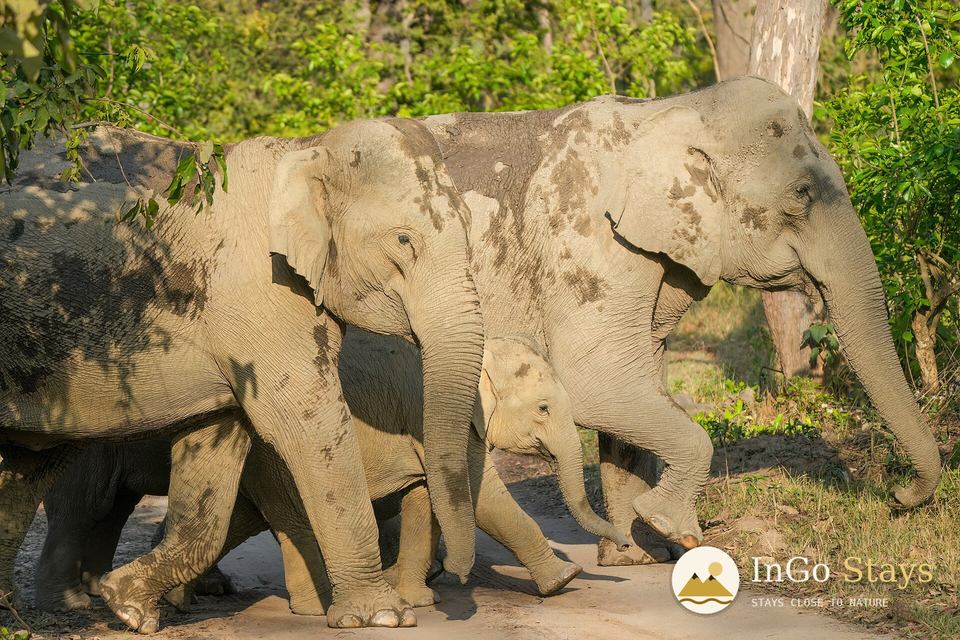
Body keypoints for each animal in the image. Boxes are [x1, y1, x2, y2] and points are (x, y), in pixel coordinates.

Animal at [0, 117, 485, 630]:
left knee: (30, 465)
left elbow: (216, 446)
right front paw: (383, 616)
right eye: (404, 240)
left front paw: (129, 606)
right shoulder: (258, 295)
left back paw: (14, 607)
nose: (452, 576)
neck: (305, 151)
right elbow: (309, 427)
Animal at [36, 329, 628, 614]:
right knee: (88, 507)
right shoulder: (438, 414)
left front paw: (418, 598)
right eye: (544, 409)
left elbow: (422, 498)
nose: (621, 546)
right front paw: (563, 582)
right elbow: (485, 498)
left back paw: (171, 600)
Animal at [399, 75, 940, 559]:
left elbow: (638, 381)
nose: (898, 498)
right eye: (802, 193)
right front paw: (673, 529)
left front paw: (634, 555)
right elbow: (598, 381)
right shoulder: (586, 241)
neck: (676, 111)